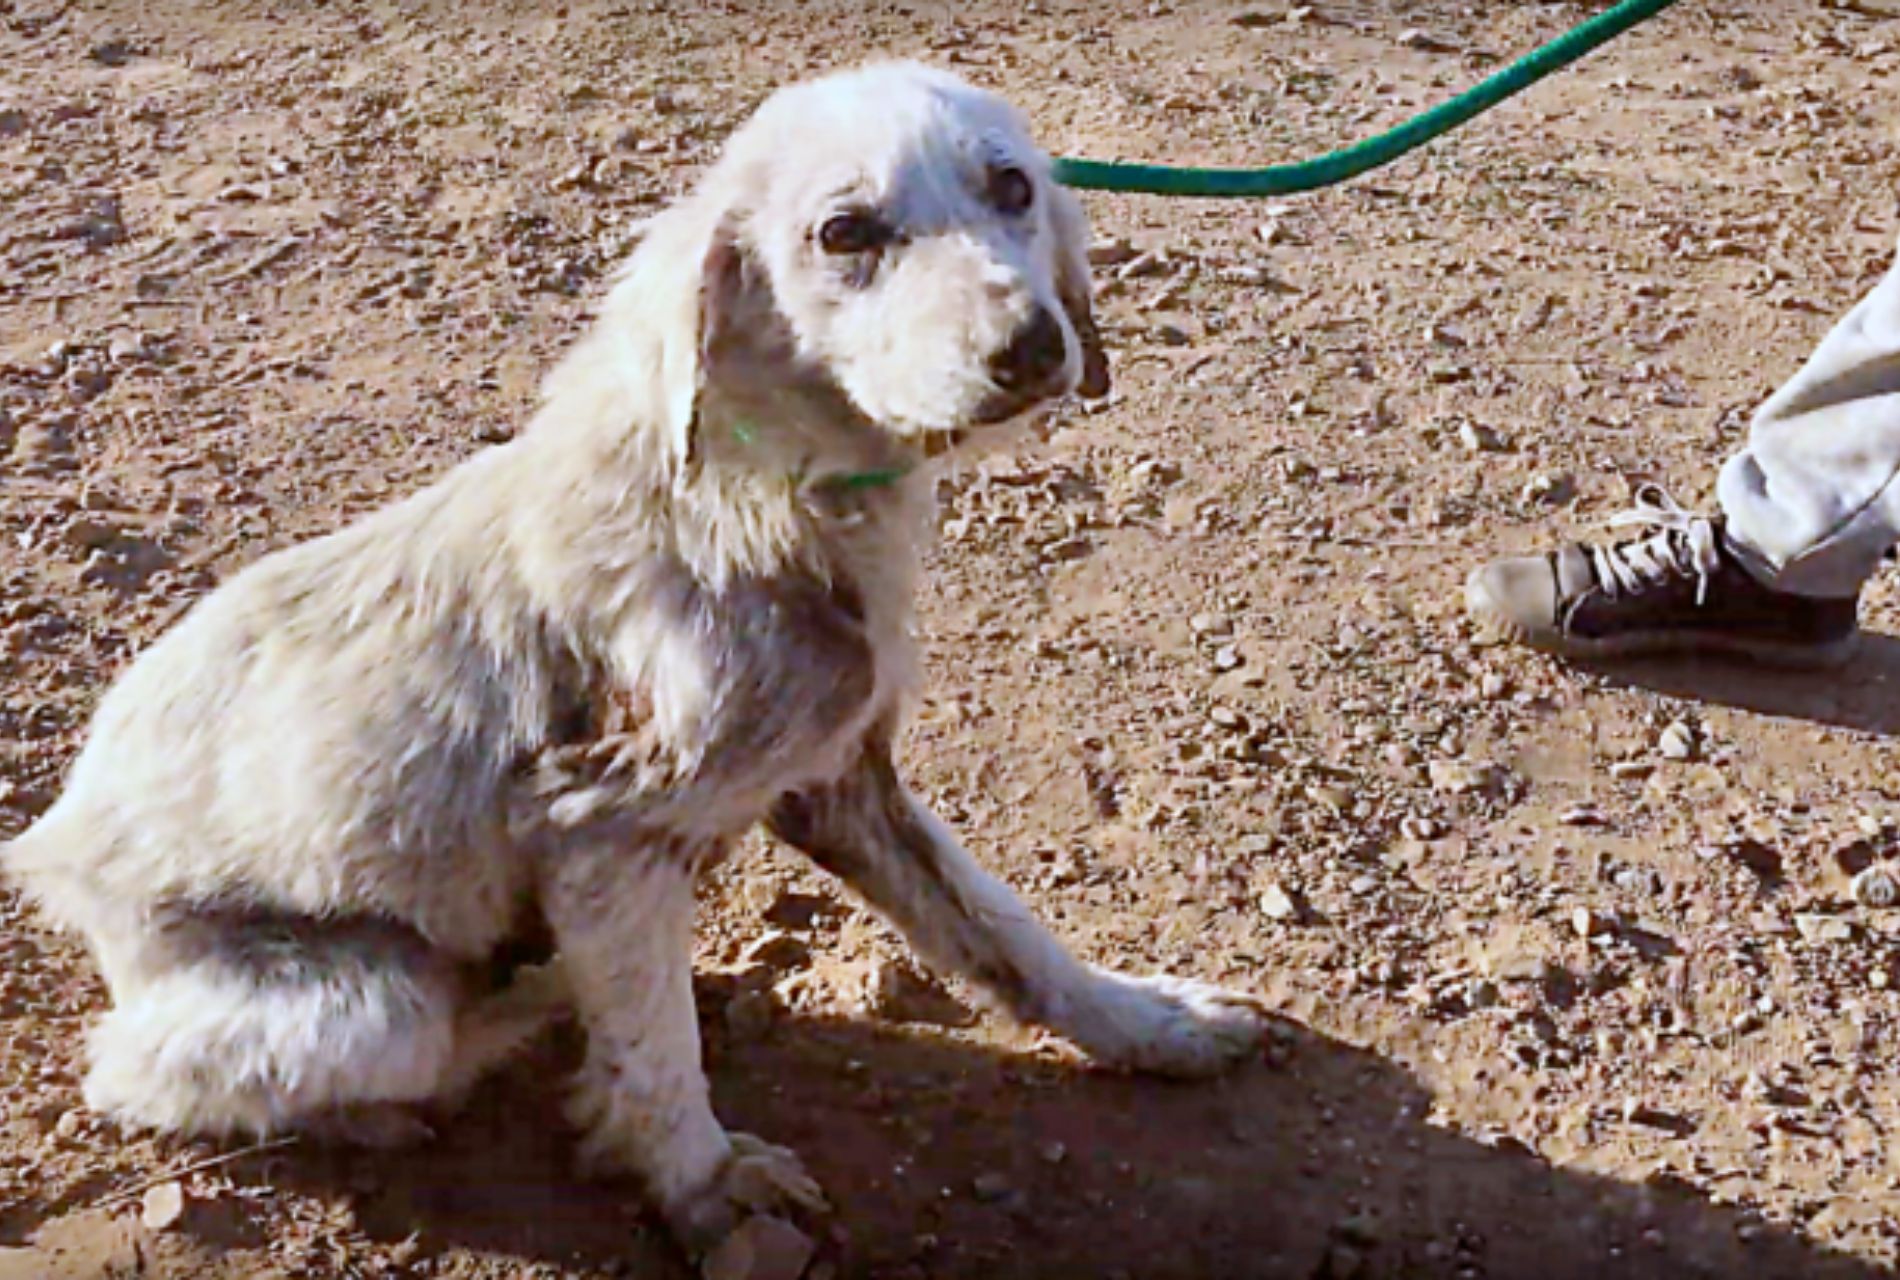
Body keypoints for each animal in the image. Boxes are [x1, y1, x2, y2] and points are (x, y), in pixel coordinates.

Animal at [14, 64, 1269, 1253]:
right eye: (844, 232)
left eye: (1010, 186)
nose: (1032, 347)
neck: (780, 490)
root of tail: (57, 844)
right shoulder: (602, 831)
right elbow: (658, 1051)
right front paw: (703, 1184)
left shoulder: (843, 778)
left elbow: (1001, 929)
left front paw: (1147, 1021)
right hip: (366, 1001)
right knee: (141, 1072)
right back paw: (457, 1051)